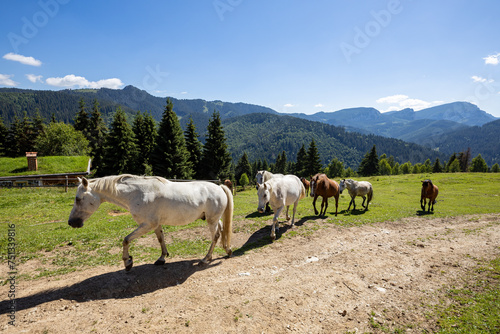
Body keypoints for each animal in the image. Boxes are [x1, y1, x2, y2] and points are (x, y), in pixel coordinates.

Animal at [67, 175, 233, 272]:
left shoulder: (146, 225)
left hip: (211, 221)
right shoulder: (155, 225)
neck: (137, 193)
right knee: (221, 231)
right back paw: (227, 250)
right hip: (214, 220)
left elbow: (126, 240)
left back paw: (206, 259)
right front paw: (162, 258)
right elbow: (161, 239)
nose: (71, 222)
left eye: (78, 198)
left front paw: (128, 262)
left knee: (215, 236)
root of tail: (219, 187)